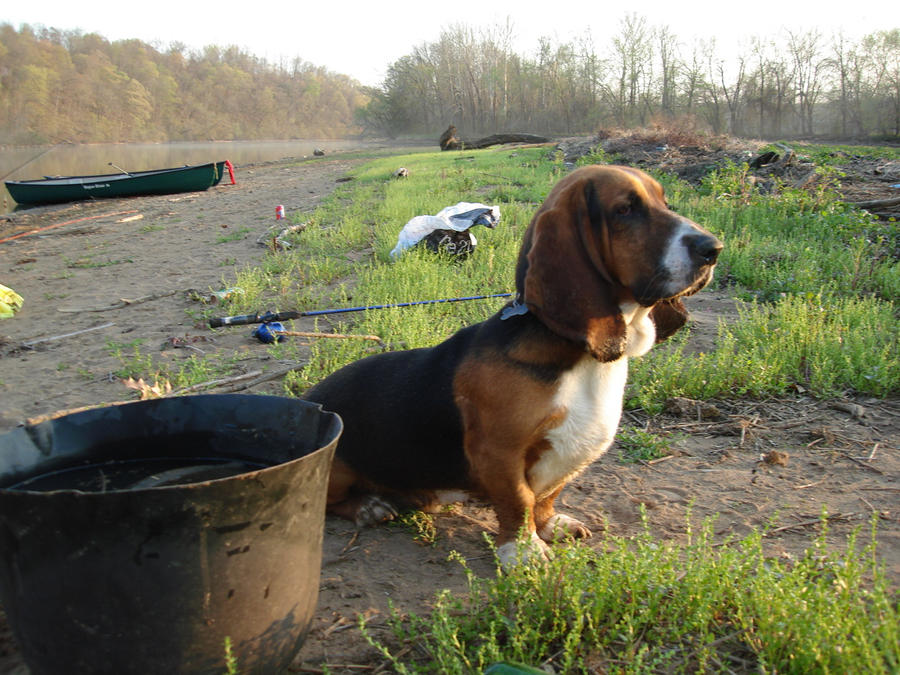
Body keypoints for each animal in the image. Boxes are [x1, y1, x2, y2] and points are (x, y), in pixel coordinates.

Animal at [304, 164, 724, 564]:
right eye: (625, 209)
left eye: (664, 202)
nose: (714, 248)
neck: (577, 356)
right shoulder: (498, 451)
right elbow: (519, 500)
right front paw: (522, 551)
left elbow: (546, 496)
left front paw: (549, 524)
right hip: (335, 468)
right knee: (329, 502)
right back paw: (369, 506)